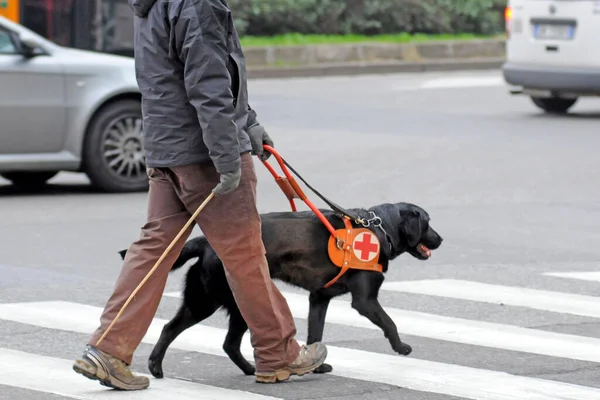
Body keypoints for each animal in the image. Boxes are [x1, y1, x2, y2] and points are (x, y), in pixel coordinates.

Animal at [119, 203, 442, 378]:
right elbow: (389, 322)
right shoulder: (365, 300)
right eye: (427, 223)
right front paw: (400, 347)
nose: (440, 240)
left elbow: (315, 334)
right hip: (217, 301)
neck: (379, 228)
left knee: (198, 335)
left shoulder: (318, 298)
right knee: (187, 332)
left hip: (221, 301)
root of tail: (205, 242)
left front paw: (316, 365)